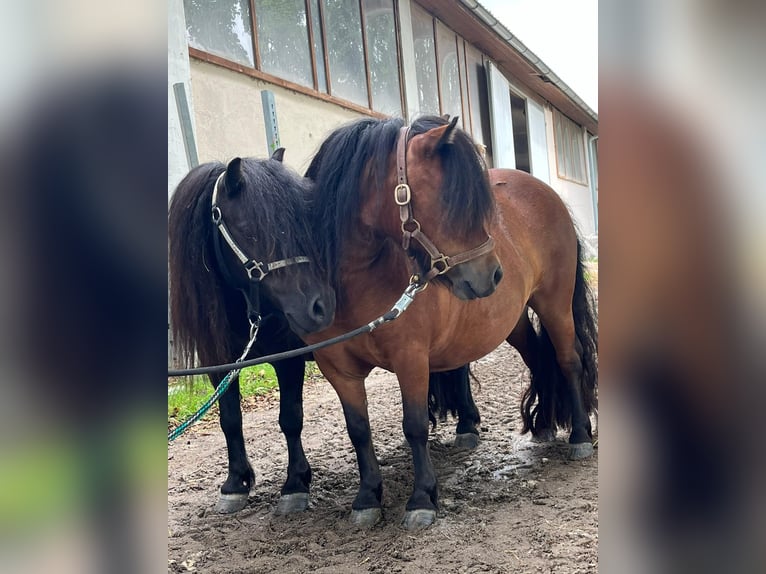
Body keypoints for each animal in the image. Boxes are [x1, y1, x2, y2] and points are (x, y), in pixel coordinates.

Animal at [168, 151, 336, 516]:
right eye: (250, 228)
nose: (320, 306)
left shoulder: (288, 361)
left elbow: (290, 418)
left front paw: (295, 483)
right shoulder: (219, 366)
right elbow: (230, 420)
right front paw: (235, 483)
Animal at [306, 116, 600, 532]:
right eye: (451, 201)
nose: (493, 274)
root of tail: (547, 193)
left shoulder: (411, 359)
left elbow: (414, 425)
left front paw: (421, 498)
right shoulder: (338, 370)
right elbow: (358, 431)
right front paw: (366, 498)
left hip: (554, 303)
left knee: (568, 360)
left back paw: (579, 435)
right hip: (513, 321)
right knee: (538, 359)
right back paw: (543, 425)